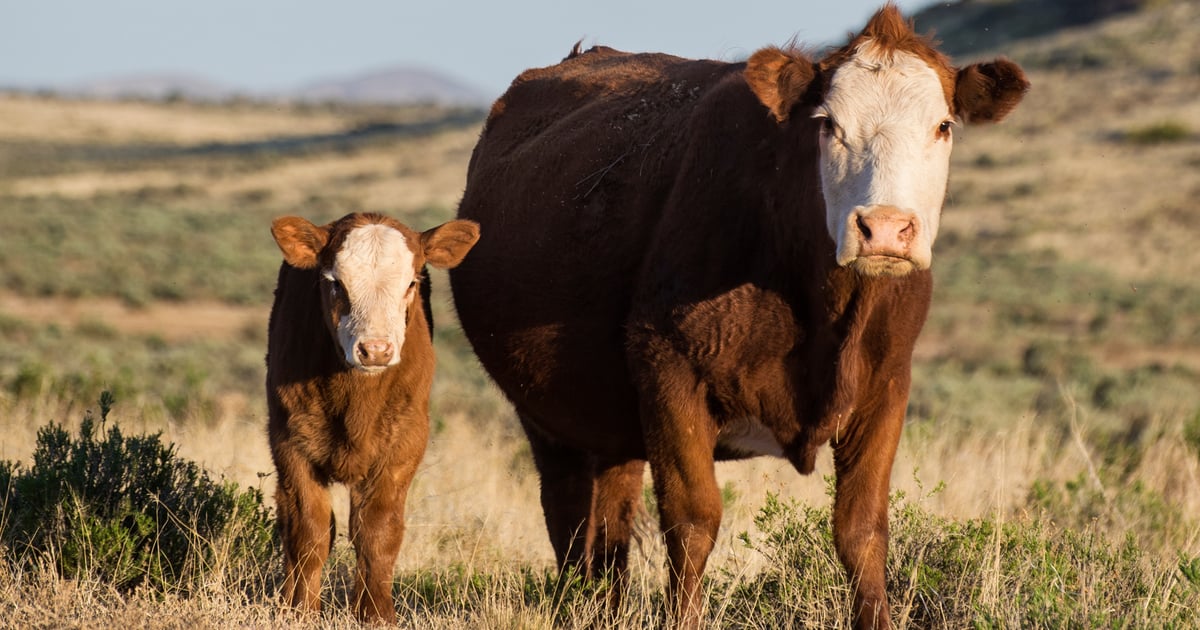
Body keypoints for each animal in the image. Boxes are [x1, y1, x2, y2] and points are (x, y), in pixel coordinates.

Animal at [266, 212, 479, 623]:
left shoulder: (404, 445)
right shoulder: (290, 440)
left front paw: (376, 614)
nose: (376, 349)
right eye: (335, 282)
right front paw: (300, 611)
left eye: (412, 282)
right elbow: (309, 529)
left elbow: (377, 532)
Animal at [449, 4, 1028, 629]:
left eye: (943, 126)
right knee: (569, 518)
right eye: (828, 124)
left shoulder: (887, 384)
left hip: (608, 423)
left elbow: (862, 529)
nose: (885, 228)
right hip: (547, 416)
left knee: (608, 531)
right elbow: (692, 522)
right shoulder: (667, 368)